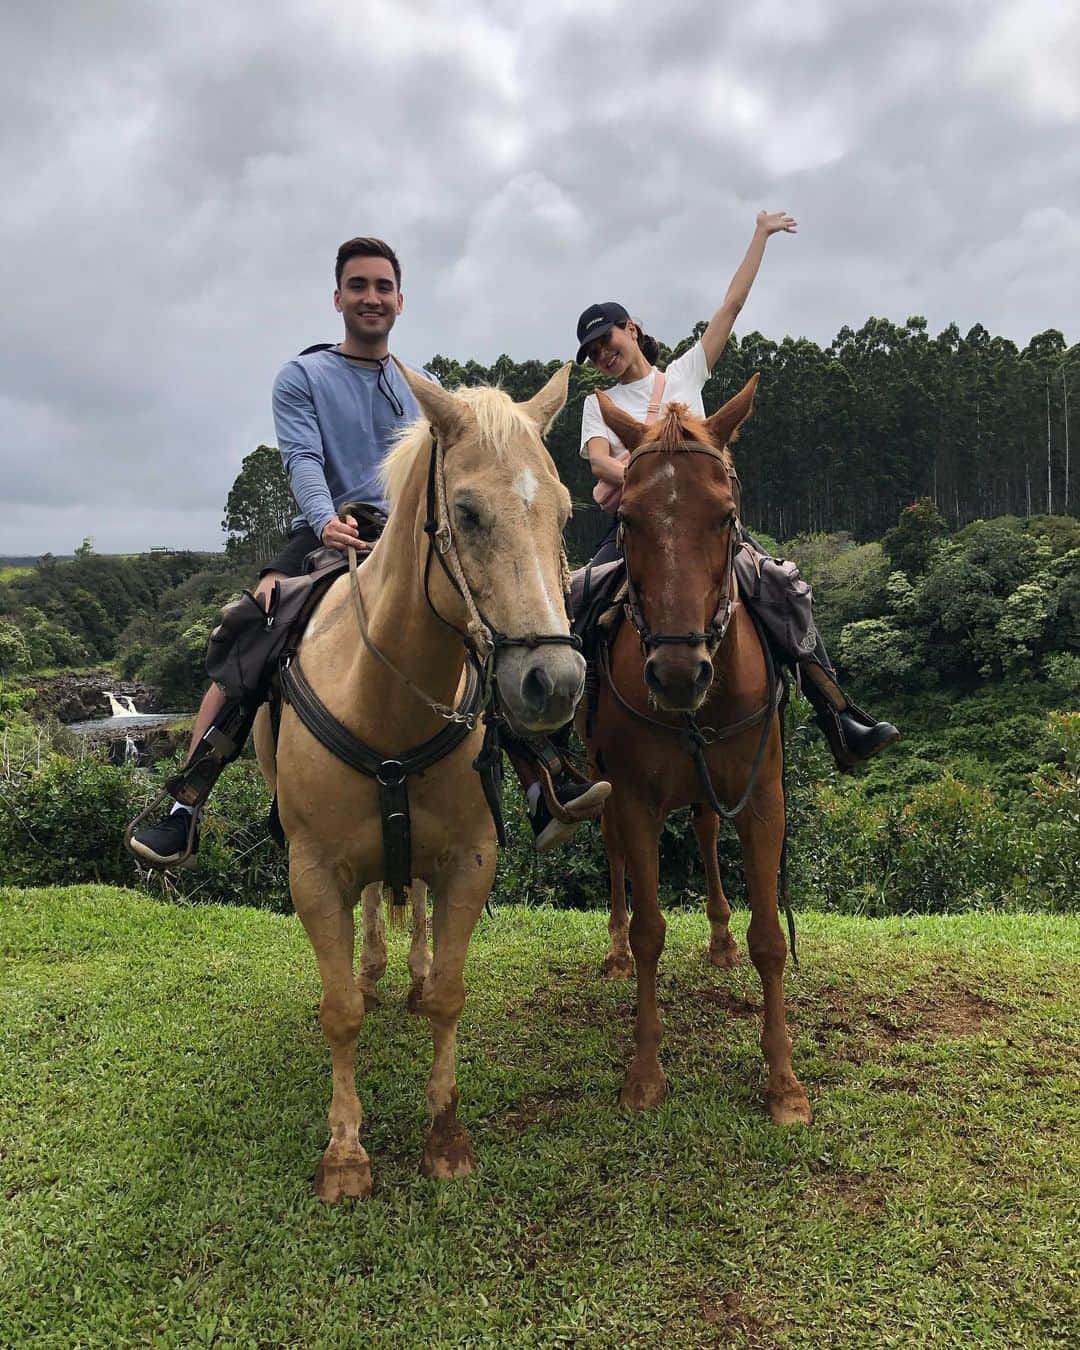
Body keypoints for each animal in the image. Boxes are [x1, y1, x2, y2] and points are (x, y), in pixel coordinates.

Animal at [255, 364, 583, 1198]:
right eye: (465, 512)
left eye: (565, 511)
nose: (556, 682)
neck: (385, 703)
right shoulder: (311, 872)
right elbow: (338, 1009)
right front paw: (345, 1152)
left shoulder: (471, 860)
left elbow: (449, 995)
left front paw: (445, 1134)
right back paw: (375, 968)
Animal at [583, 380, 810, 1128]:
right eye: (627, 519)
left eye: (726, 516)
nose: (678, 673)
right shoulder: (633, 798)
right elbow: (652, 930)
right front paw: (645, 1073)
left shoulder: (764, 798)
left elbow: (771, 936)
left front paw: (784, 1083)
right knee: (614, 857)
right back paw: (615, 948)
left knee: (709, 832)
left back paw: (719, 939)